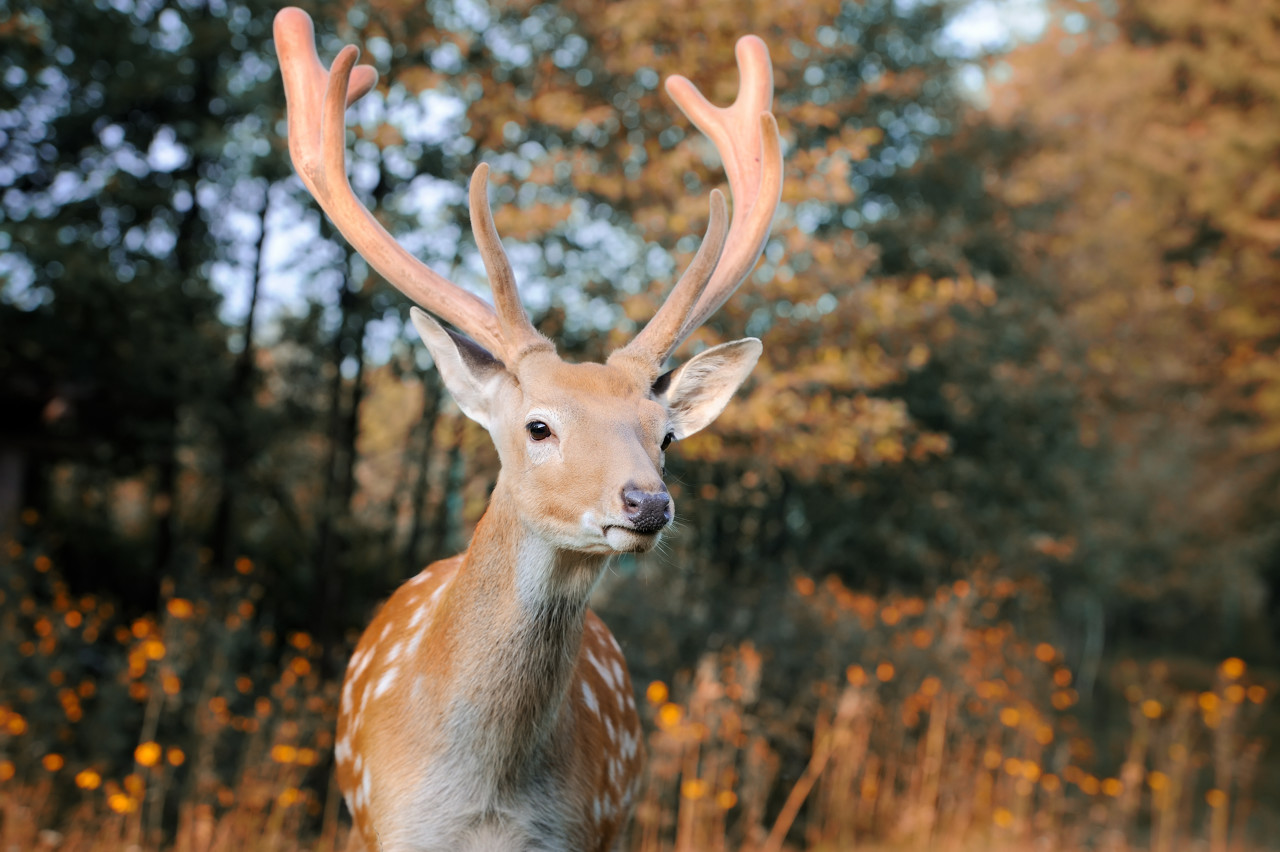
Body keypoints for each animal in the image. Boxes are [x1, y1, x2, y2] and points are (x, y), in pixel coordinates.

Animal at [272, 8, 778, 849]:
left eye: (665, 435)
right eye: (539, 426)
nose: (647, 503)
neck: (485, 803)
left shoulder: (580, 827)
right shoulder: (384, 821)